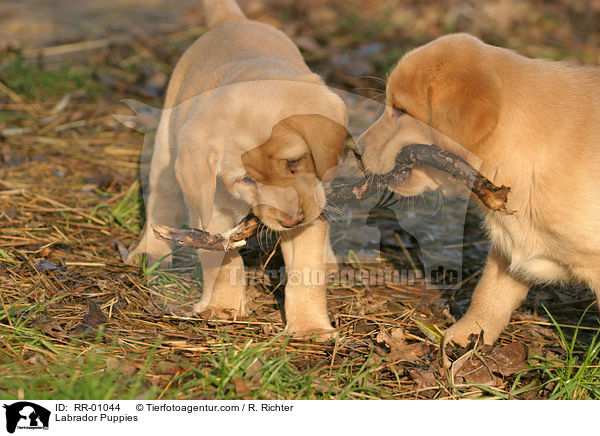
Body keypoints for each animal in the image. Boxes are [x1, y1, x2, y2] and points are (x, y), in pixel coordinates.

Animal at [129, 0, 350, 338]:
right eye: (246, 179)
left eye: (294, 161)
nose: (292, 219)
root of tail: (230, 21)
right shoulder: (211, 211)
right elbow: (223, 260)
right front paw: (222, 306)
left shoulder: (311, 210)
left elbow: (306, 272)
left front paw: (309, 327)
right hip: (167, 148)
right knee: (162, 199)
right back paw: (149, 251)